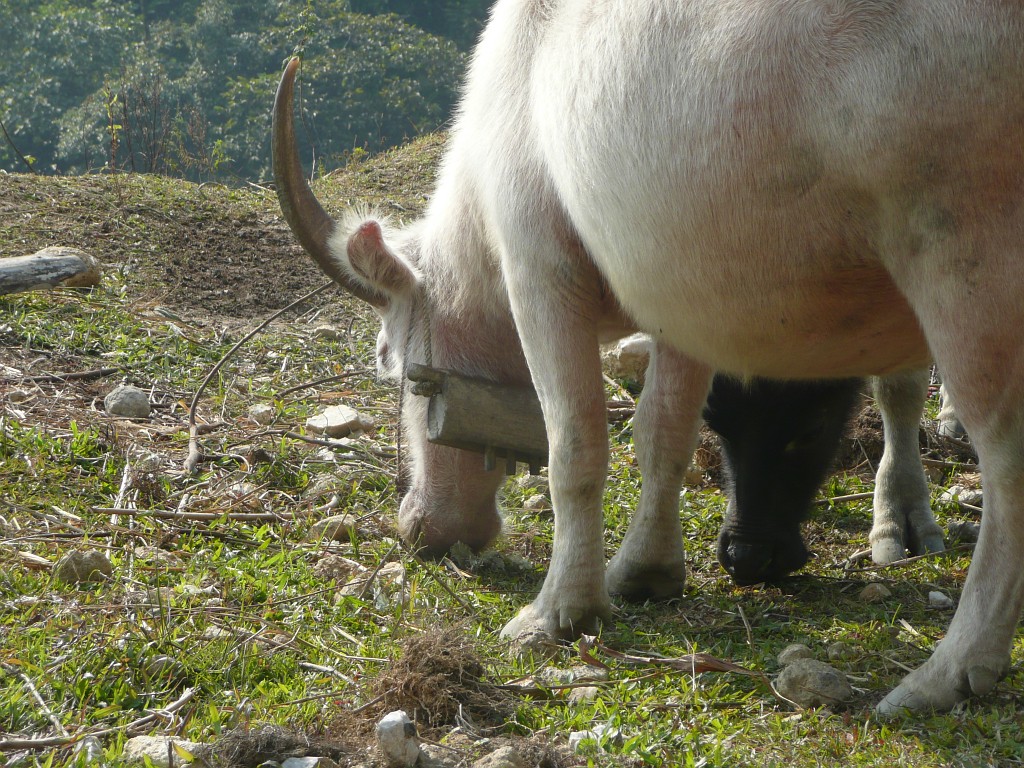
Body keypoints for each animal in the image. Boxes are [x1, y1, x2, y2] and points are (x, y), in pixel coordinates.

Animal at [272, 0, 1024, 716]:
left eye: (394, 364)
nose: (419, 527)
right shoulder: (682, 300)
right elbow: (664, 431)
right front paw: (645, 570)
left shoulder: (539, 270)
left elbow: (575, 446)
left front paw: (560, 608)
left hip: (966, 263)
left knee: (1004, 454)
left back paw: (951, 670)